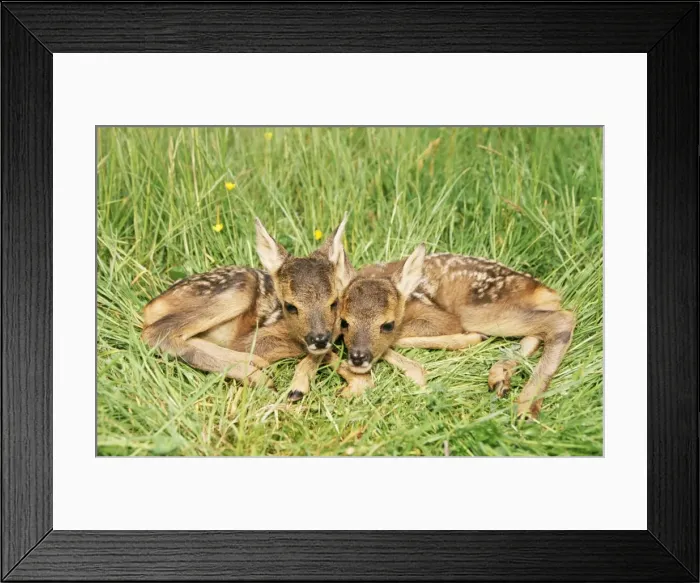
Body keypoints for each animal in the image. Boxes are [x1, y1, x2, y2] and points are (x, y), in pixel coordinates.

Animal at [141, 214, 366, 401]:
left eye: (334, 302)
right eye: (290, 306)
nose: (319, 339)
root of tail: (152, 304)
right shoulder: (256, 337)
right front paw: (297, 387)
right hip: (241, 287)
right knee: (156, 332)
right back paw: (259, 376)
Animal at [337, 244, 576, 419]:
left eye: (387, 324)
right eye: (344, 322)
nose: (358, 357)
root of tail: (546, 291)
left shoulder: (441, 317)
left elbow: (398, 338)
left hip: (476, 311)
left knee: (563, 319)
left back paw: (526, 406)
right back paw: (500, 376)